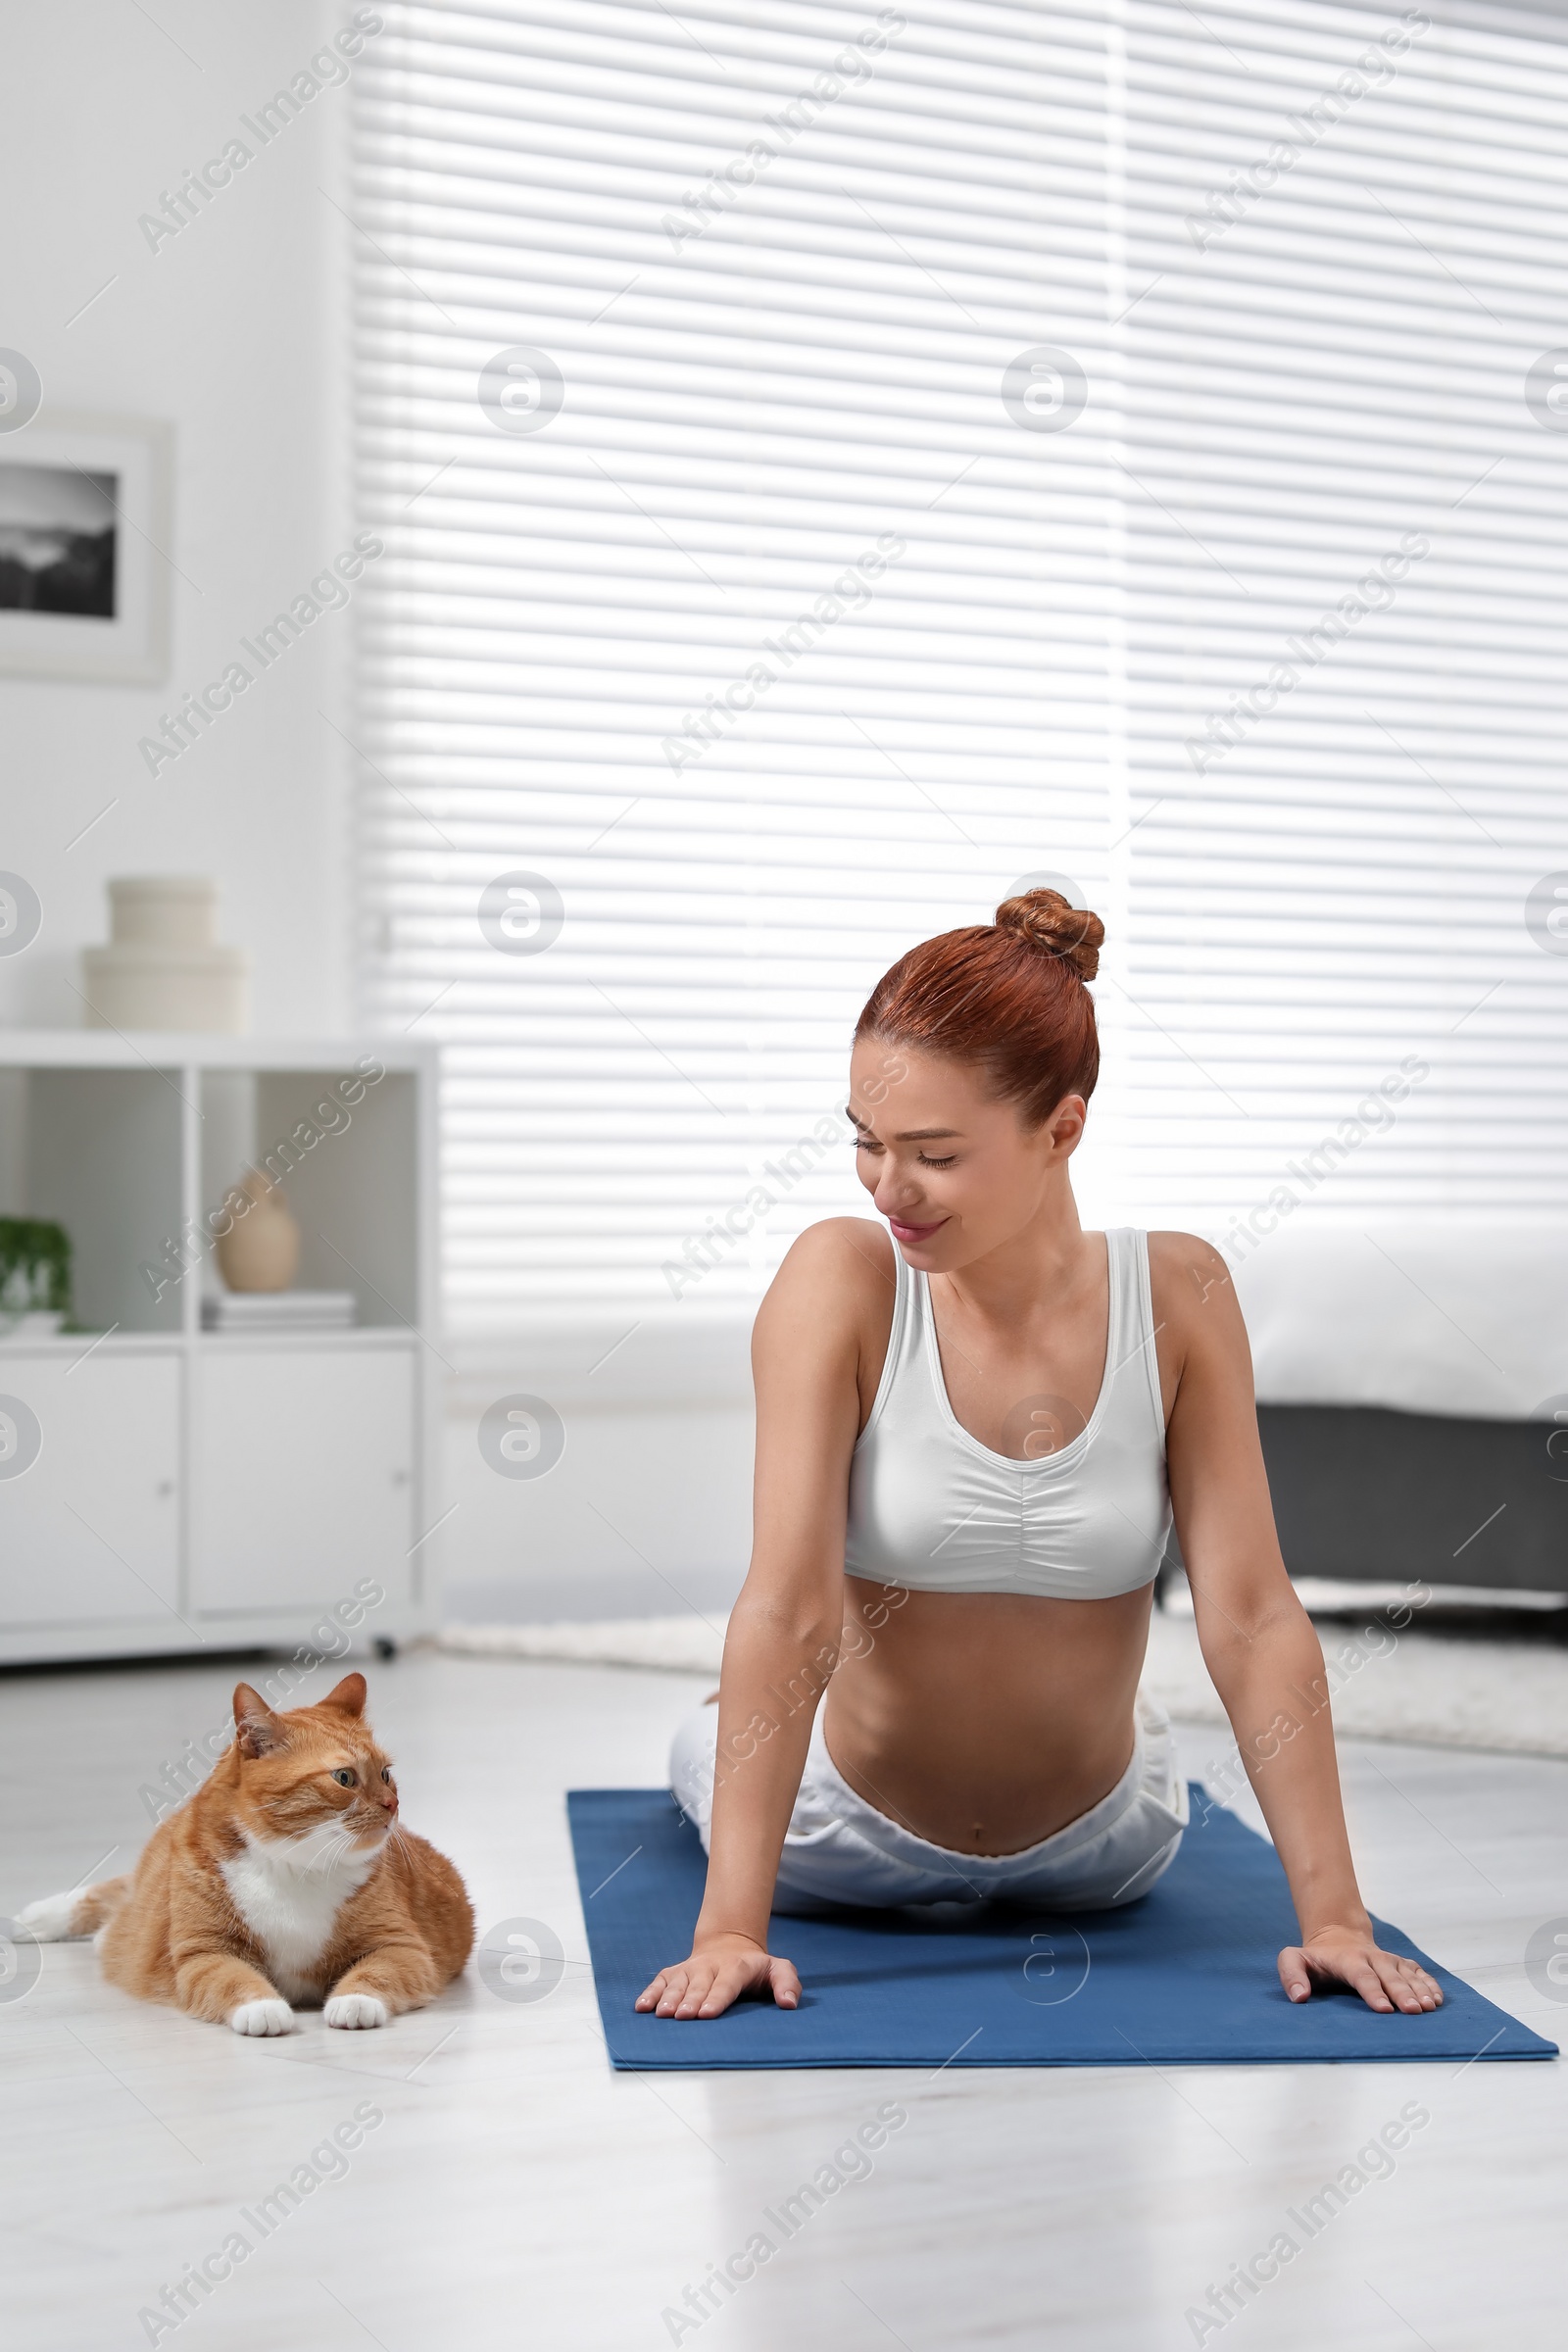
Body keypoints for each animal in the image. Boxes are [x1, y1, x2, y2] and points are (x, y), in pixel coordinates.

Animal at [20, 1665, 472, 2032]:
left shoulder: (402, 1946)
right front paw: (263, 2009)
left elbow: (376, 1973)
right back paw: (37, 1919)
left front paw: (354, 2002)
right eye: (344, 1777)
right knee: (118, 1891)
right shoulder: (203, 1952)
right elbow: (233, 1979)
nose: (392, 1805)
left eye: (385, 1774)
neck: (296, 1867)